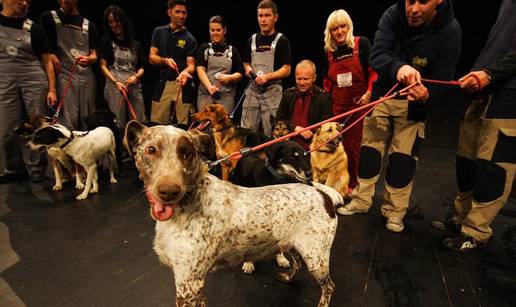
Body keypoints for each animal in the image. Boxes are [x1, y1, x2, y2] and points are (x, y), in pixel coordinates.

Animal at [124, 121, 342, 307]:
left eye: (187, 153)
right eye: (151, 150)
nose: (169, 191)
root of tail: (323, 194)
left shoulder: (189, 283)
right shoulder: (194, 284)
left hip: (316, 258)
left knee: (329, 286)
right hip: (295, 245)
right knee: (296, 264)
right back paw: (286, 277)